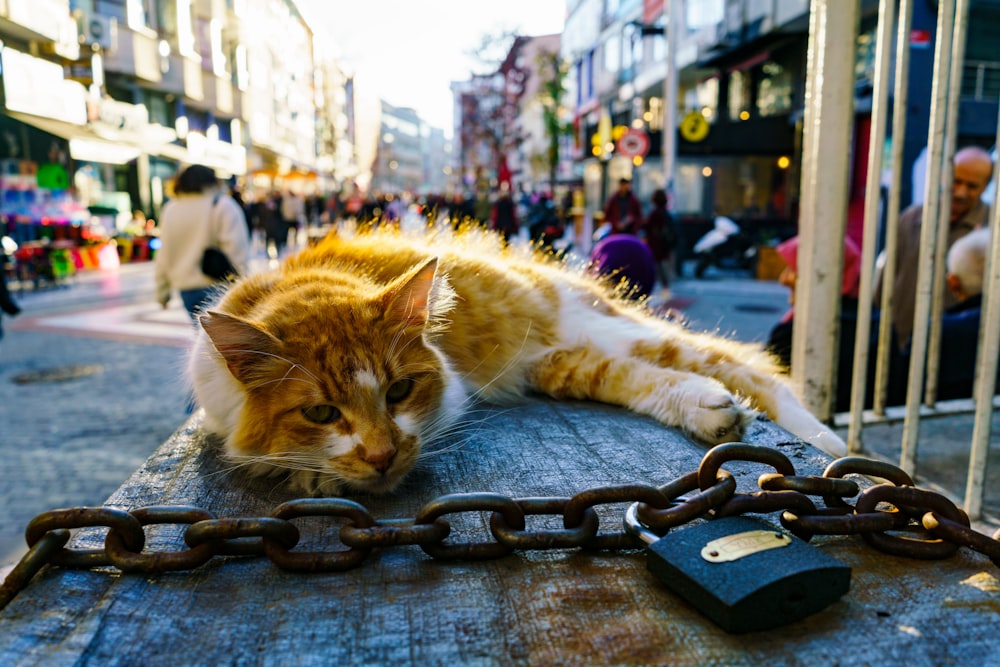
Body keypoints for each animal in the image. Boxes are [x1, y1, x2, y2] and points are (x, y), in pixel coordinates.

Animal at [188, 227, 844, 494]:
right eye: (322, 413)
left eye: (399, 392)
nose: (380, 456)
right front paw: (309, 471)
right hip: (561, 363)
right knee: (647, 376)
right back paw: (708, 409)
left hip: (600, 329)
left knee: (747, 365)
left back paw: (827, 442)